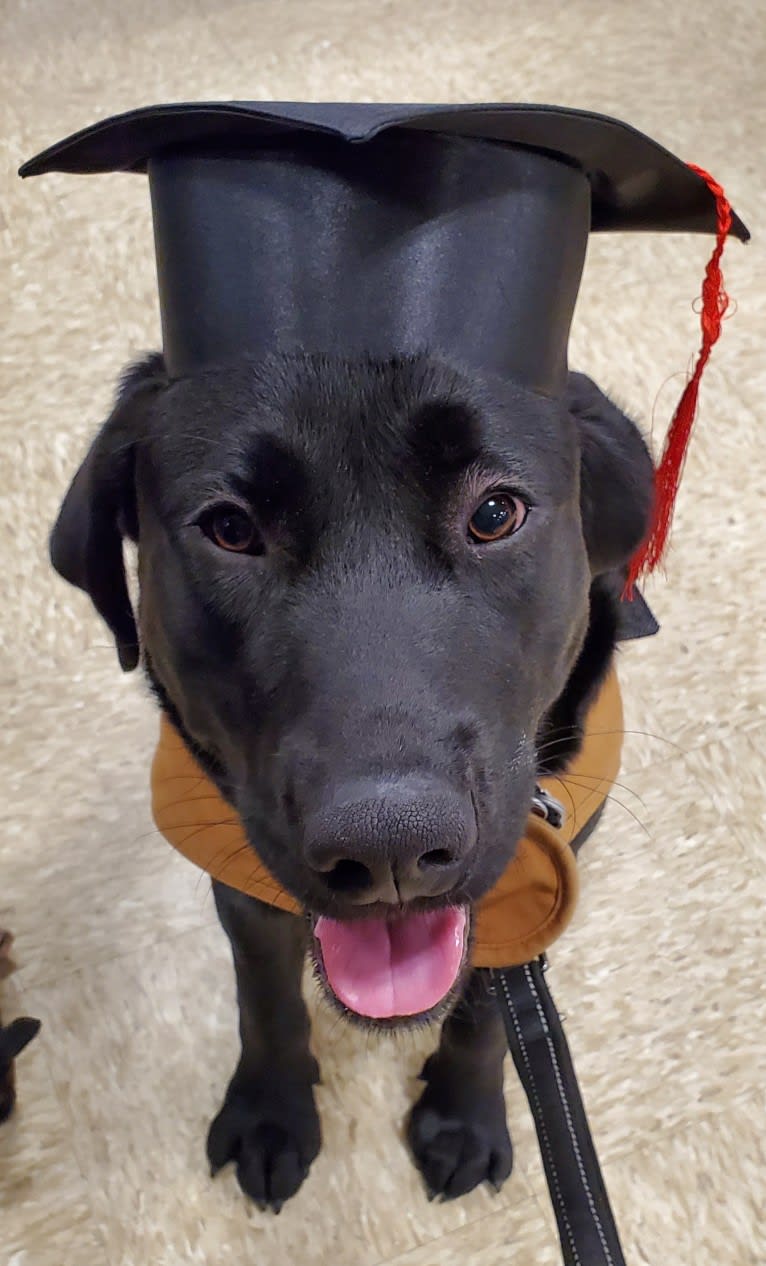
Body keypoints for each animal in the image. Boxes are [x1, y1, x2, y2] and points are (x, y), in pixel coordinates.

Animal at [49, 351, 653, 1210]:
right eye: (230, 530)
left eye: (495, 512)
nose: (389, 848)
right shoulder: (241, 880)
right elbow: (264, 999)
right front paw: (271, 1113)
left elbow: (487, 1006)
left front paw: (464, 1115)